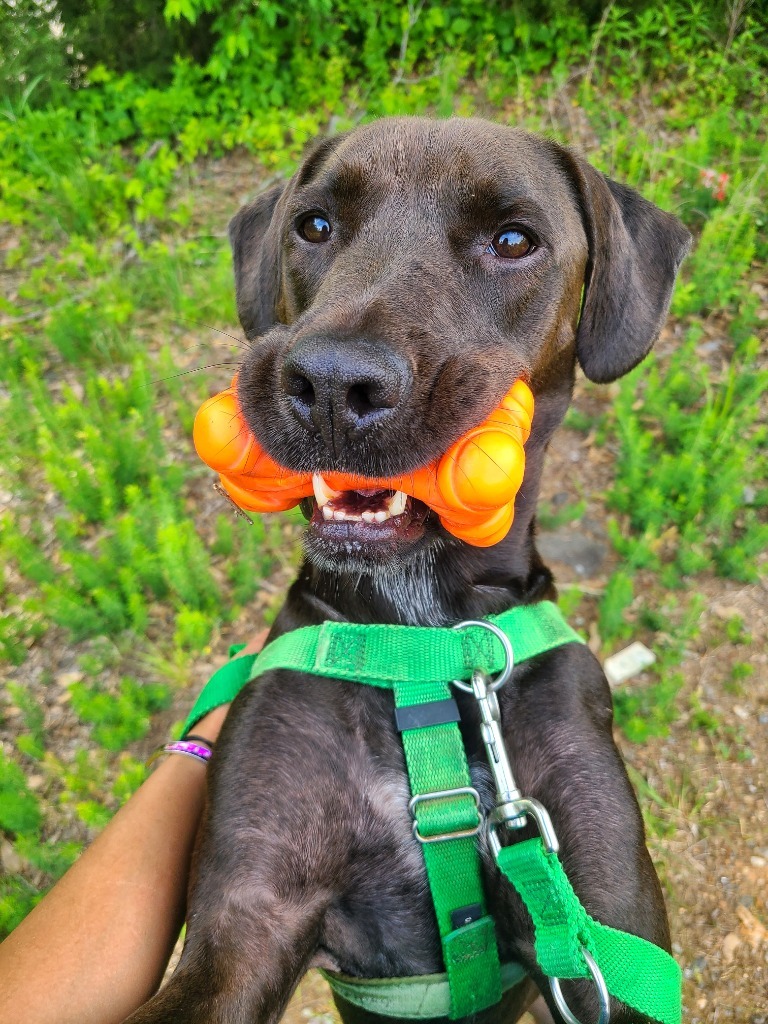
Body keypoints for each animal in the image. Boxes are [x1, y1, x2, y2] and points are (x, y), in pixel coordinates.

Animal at [126, 116, 692, 1019]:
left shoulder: (605, 933)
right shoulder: (243, 921)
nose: (330, 383)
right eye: (315, 224)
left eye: (513, 240)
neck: (423, 642)